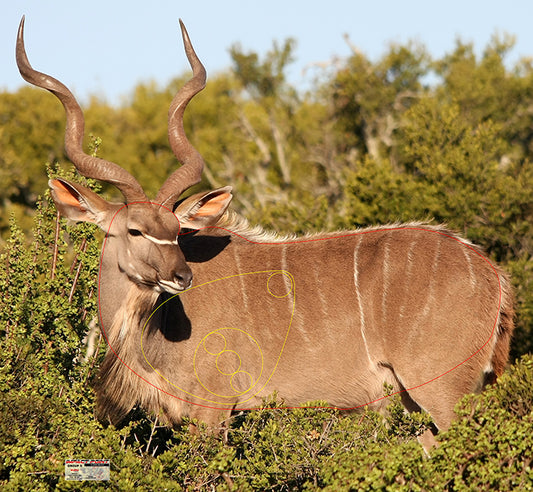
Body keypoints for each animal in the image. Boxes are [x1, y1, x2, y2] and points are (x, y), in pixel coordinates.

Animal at [18, 16, 512, 450]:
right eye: (136, 230)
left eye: (177, 230)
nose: (181, 277)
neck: (155, 326)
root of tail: (494, 275)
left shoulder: (213, 407)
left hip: (444, 393)